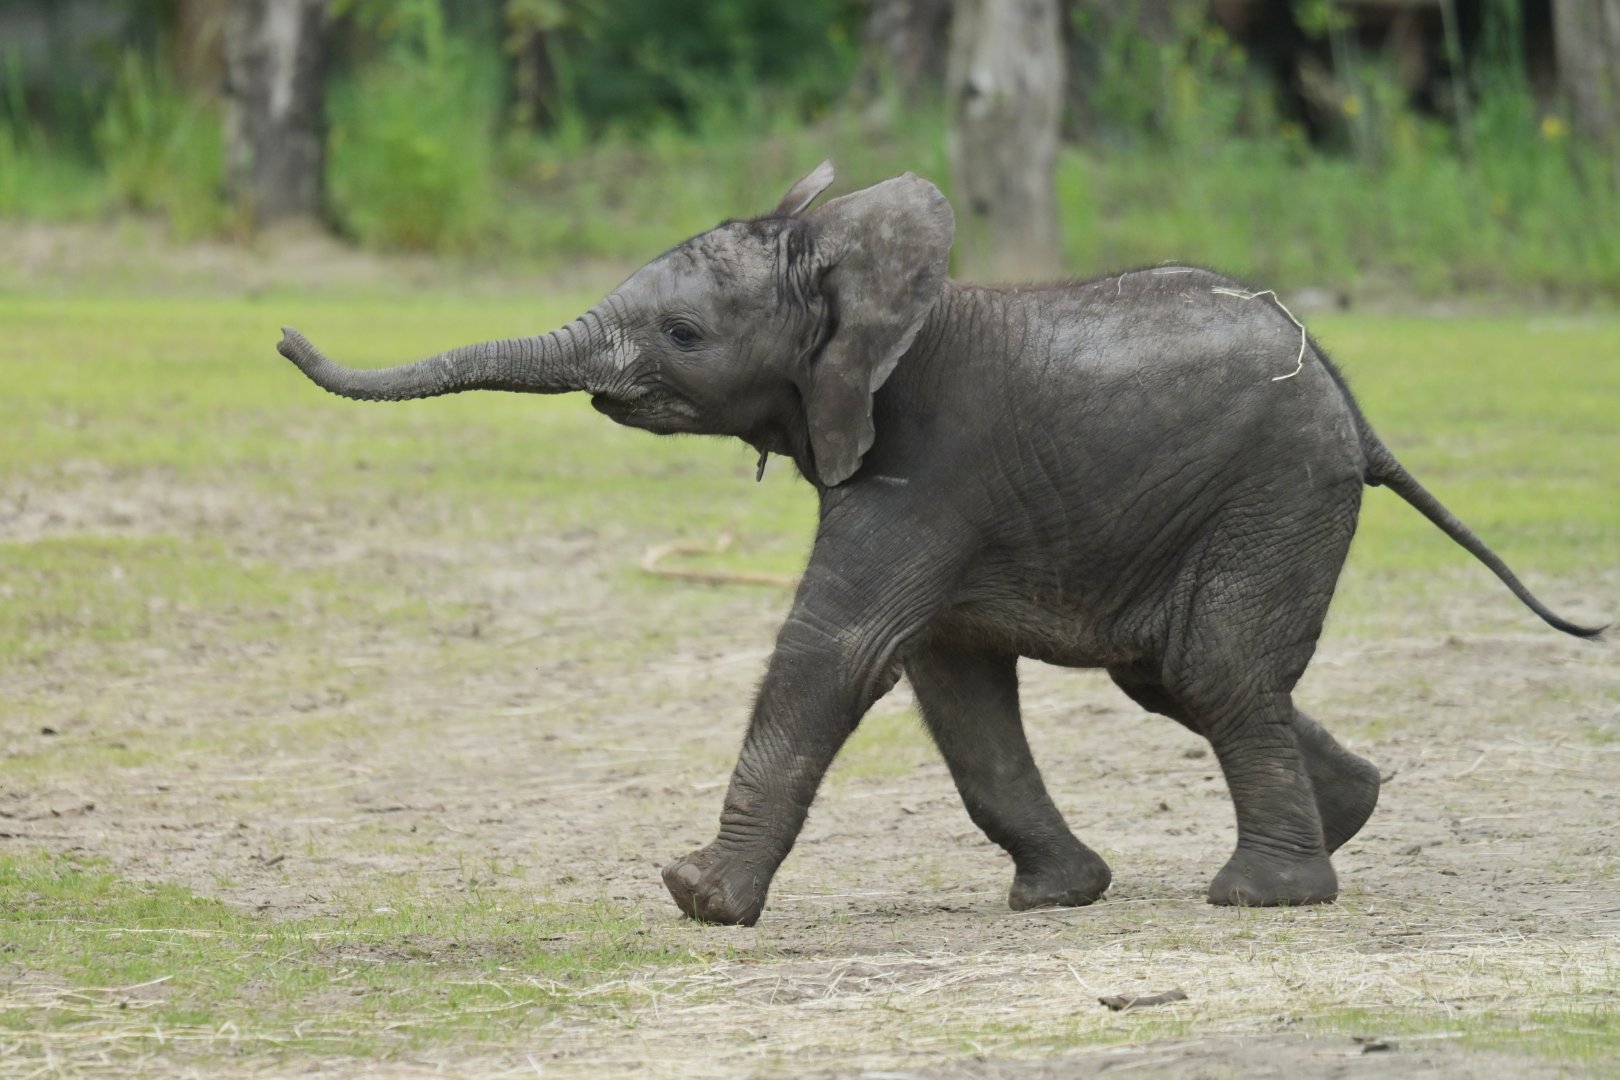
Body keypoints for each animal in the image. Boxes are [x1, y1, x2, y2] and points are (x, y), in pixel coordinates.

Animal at [277, 162, 1604, 926]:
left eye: (686, 334)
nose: (286, 335)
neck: (860, 282)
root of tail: (1355, 409)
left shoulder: (924, 469)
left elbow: (840, 652)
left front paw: (698, 897)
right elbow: (952, 687)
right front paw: (1060, 897)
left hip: (1273, 488)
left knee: (1216, 667)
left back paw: (1265, 896)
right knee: (1182, 677)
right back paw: (1352, 814)